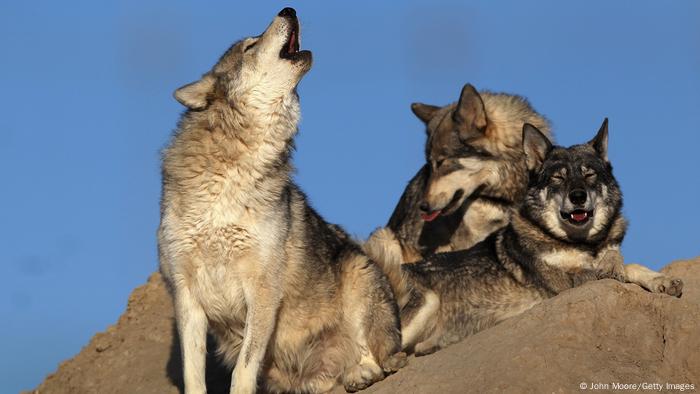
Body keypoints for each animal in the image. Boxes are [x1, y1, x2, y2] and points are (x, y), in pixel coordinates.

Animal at [159, 7, 404, 392]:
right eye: (249, 46)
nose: (288, 9)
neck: (231, 175)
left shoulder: (262, 290)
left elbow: (243, 368)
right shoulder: (186, 297)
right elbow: (193, 374)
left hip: (357, 274)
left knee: (377, 358)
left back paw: (361, 372)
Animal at [366, 118, 684, 356]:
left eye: (589, 174)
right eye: (558, 177)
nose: (578, 196)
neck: (582, 244)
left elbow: (630, 264)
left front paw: (661, 279)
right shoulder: (565, 284)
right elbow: (618, 268)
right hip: (422, 299)